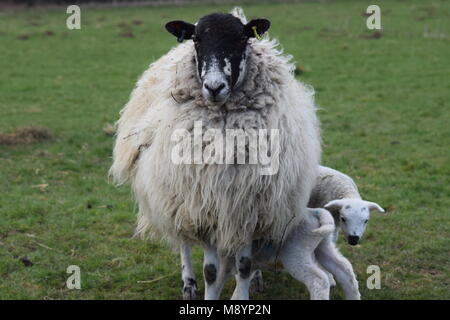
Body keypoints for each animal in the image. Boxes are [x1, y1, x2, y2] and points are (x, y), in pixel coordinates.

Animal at [109, 8, 320, 300]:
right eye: (196, 39)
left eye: (242, 38)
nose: (214, 87)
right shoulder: (203, 209)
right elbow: (210, 270)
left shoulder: (248, 211)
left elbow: (244, 264)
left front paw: (244, 290)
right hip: (175, 196)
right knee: (184, 243)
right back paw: (188, 283)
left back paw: (255, 278)